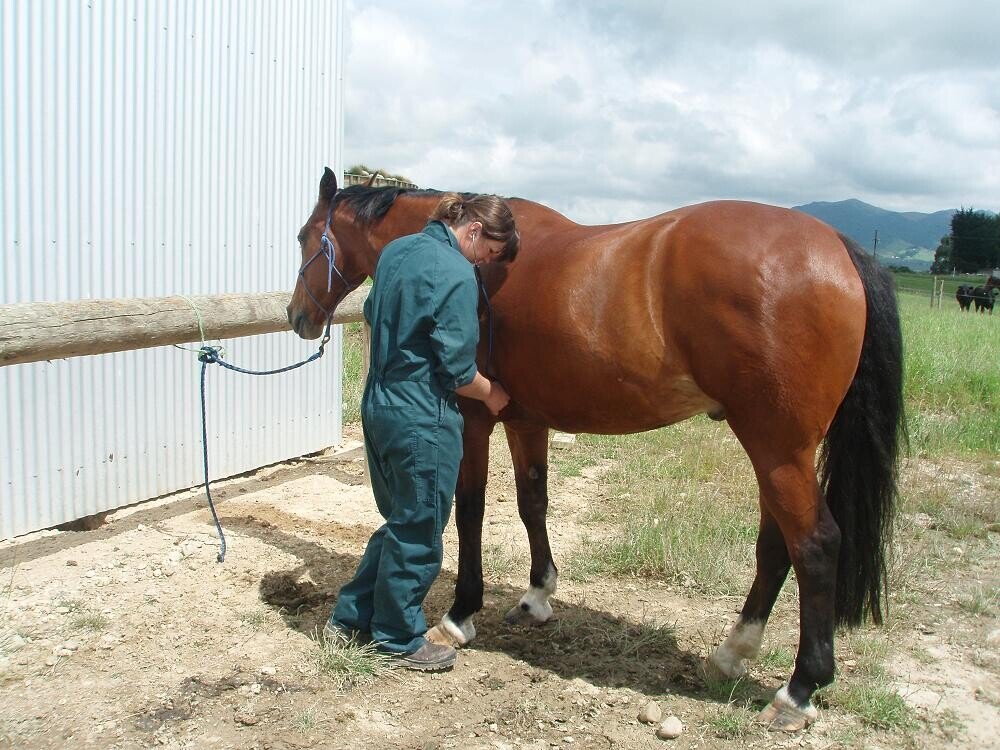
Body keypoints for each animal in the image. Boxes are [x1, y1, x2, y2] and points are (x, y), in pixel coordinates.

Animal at [287, 168, 904, 731]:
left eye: (302, 236)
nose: (298, 317)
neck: (481, 261)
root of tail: (839, 247)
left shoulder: (475, 421)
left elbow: (471, 512)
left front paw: (461, 613)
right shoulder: (526, 422)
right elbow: (532, 502)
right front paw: (537, 597)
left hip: (777, 448)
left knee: (815, 546)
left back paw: (798, 691)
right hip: (778, 452)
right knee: (777, 546)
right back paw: (732, 654)